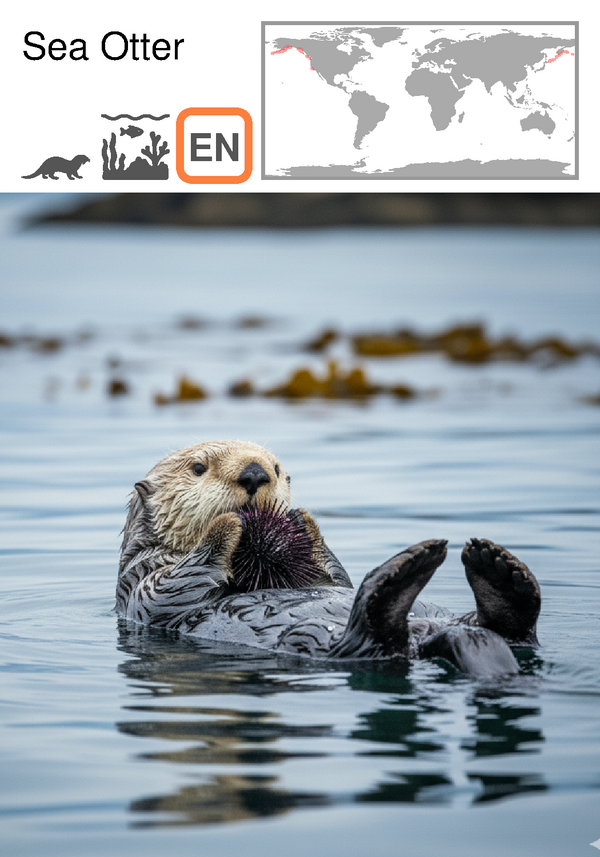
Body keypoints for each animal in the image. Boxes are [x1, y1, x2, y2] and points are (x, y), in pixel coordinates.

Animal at [117, 441, 541, 678]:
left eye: (276, 469)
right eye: (198, 468)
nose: (255, 474)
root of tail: (431, 637)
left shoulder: (327, 576)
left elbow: (336, 578)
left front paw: (303, 518)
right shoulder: (141, 579)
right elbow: (168, 588)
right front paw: (226, 523)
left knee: (515, 630)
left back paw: (500, 570)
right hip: (331, 642)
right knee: (374, 635)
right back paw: (406, 573)